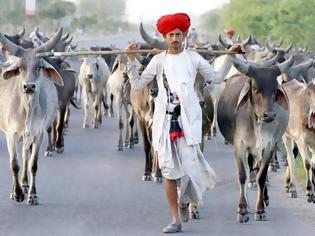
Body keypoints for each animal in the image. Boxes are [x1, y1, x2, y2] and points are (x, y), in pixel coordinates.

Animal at [0, 27, 63, 205]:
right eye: (20, 67)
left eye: (39, 67)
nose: (29, 87)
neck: (26, 108)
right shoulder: (10, 135)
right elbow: (14, 164)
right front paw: (17, 194)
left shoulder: (38, 134)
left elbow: (32, 165)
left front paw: (32, 195)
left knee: (25, 156)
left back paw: (25, 183)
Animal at [217, 55, 294, 223]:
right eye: (255, 89)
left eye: (274, 90)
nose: (269, 115)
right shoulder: (240, 146)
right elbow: (242, 175)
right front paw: (242, 209)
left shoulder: (269, 147)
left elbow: (261, 177)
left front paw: (260, 210)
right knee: (249, 170)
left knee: (257, 170)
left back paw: (264, 198)